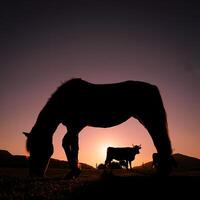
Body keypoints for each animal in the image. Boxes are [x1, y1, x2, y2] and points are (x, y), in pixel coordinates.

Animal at [23, 78, 173, 178]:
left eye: (38, 147)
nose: (34, 174)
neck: (65, 99)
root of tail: (152, 87)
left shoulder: (76, 126)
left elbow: (65, 143)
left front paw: (74, 171)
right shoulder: (73, 127)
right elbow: (75, 147)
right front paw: (74, 171)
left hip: (149, 119)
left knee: (160, 141)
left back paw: (163, 171)